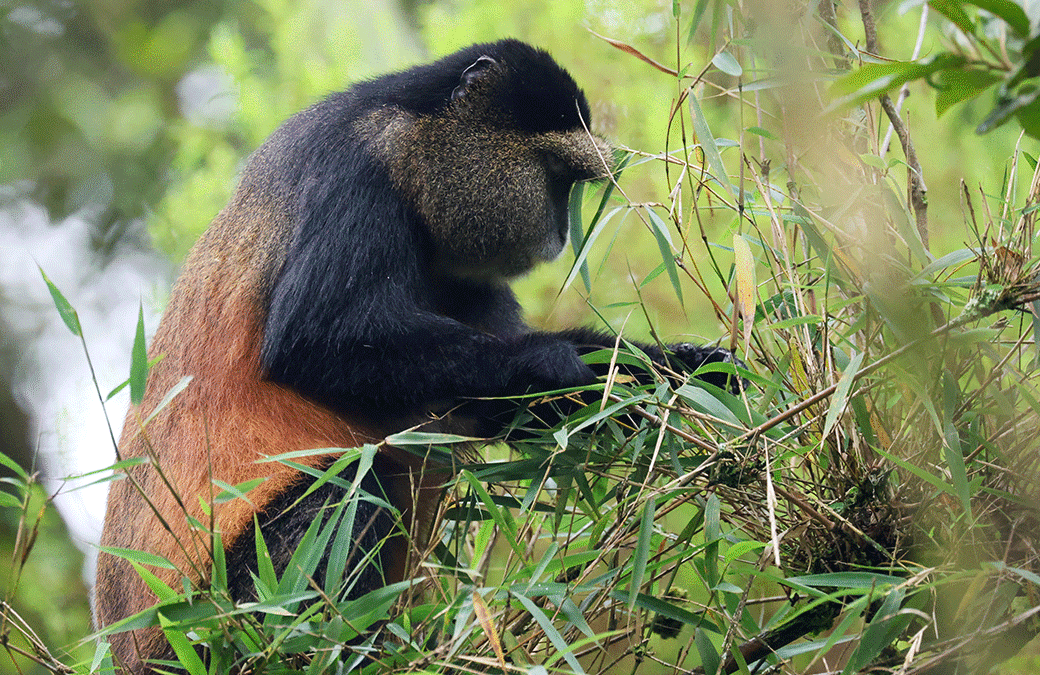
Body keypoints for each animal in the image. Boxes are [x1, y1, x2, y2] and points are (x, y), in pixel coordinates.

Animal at [94, 39, 742, 673]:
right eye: (557, 177)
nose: (561, 232)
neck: (414, 143)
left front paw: (681, 369)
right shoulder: (355, 172)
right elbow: (314, 341)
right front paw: (551, 363)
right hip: (216, 618)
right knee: (353, 490)